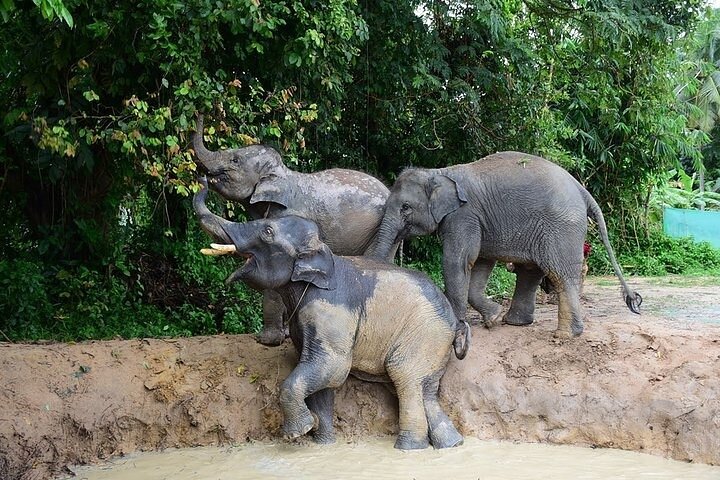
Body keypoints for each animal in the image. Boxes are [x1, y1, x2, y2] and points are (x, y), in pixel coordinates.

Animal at [192, 115, 390, 346]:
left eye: (235, 161)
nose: (203, 178)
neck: (283, 174)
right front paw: (284, 334)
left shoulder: (289, 215)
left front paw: (266, 340)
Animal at [193, 179, 470, 450]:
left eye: (267, 232)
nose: (205, 179)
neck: (321, 251)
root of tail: (456, 324)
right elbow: (320, 378)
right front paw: (322, 443)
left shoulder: (329, 311)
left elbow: (332, 367)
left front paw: (298, 433)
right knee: (424, 390)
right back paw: (451, 444)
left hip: (424, 336)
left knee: (405, 378)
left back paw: (409, 447)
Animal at [365, 151, 642, 339]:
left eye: (405, 207)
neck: (439, 172)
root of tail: (581, 189)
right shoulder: (479, 220)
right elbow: (481, 263)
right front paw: (493, 318)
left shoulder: (464, 215)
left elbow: (458, 260)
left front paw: (459, 325)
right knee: (530, 272)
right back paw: (515, 323)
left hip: (561, 227)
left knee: (560, 274)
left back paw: (564, 335)